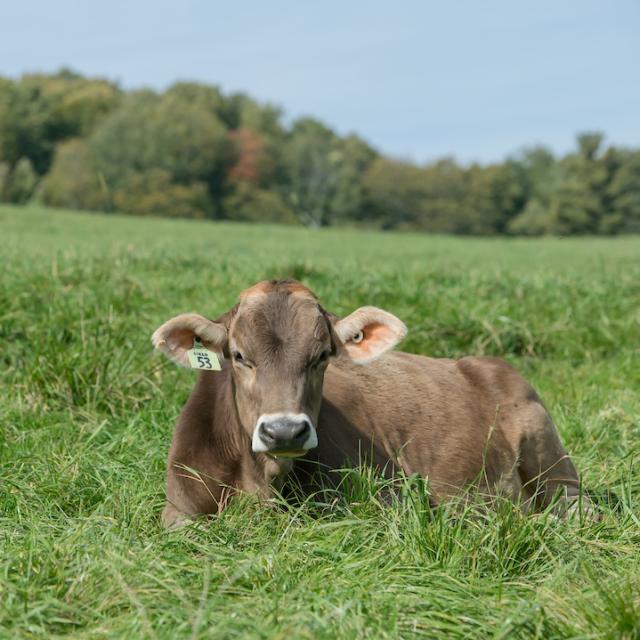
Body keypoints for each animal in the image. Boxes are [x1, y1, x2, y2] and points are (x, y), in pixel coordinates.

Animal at [152, 278, 588, 528]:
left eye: (322, 355)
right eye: (239, 355)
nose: (284, 431)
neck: (261, 482)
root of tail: (481, 363)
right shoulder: (178, 511)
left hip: (551, 461)